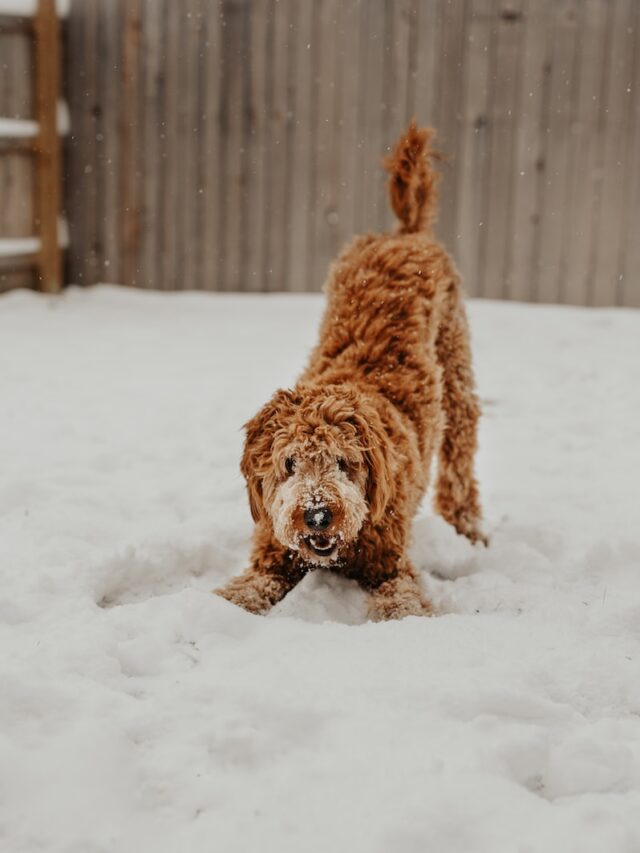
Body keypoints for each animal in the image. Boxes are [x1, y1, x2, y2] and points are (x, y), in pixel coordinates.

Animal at [216, 121, 484, 620]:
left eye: (343, 461)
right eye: (289, 463)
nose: (318, 514)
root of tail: (404, 232)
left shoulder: (392, 566)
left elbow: (404, 603)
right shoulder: (270, 557)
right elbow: (240, 591)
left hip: (455, 360)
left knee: (461, 450)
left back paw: (468, 528)